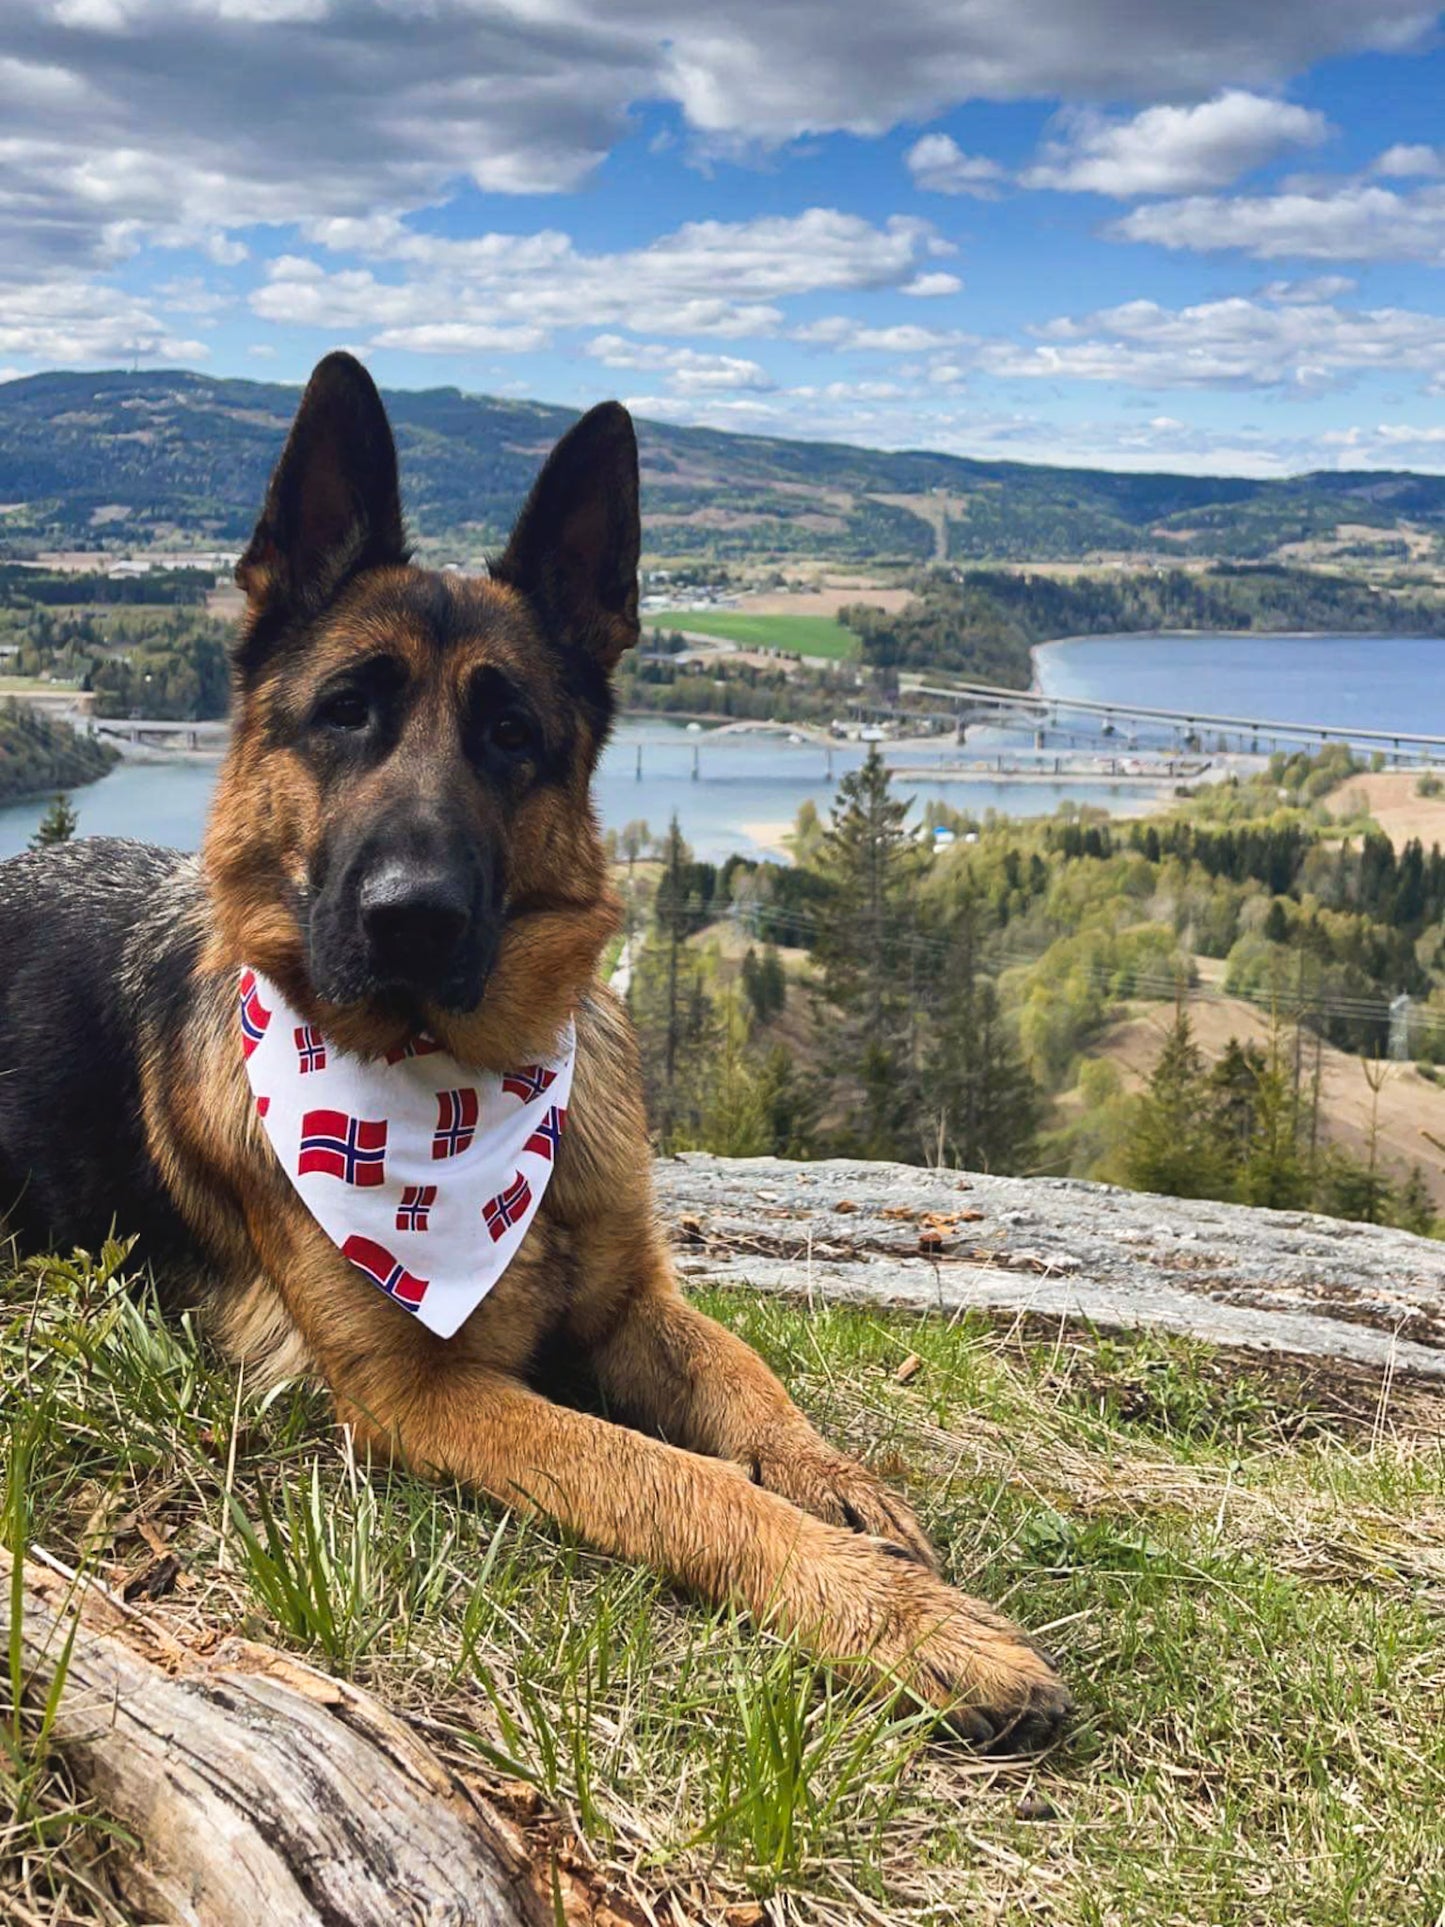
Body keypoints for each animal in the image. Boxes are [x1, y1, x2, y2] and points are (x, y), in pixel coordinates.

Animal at [2, 354, 1078, 1757]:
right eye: (343, 713)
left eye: (511, 734)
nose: (410, 916)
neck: (459, 1089)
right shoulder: (422, 1396)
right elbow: (676, 1477)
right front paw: (895, 1616)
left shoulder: (633, 1303)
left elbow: (747, 1378)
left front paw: (836, 1486)